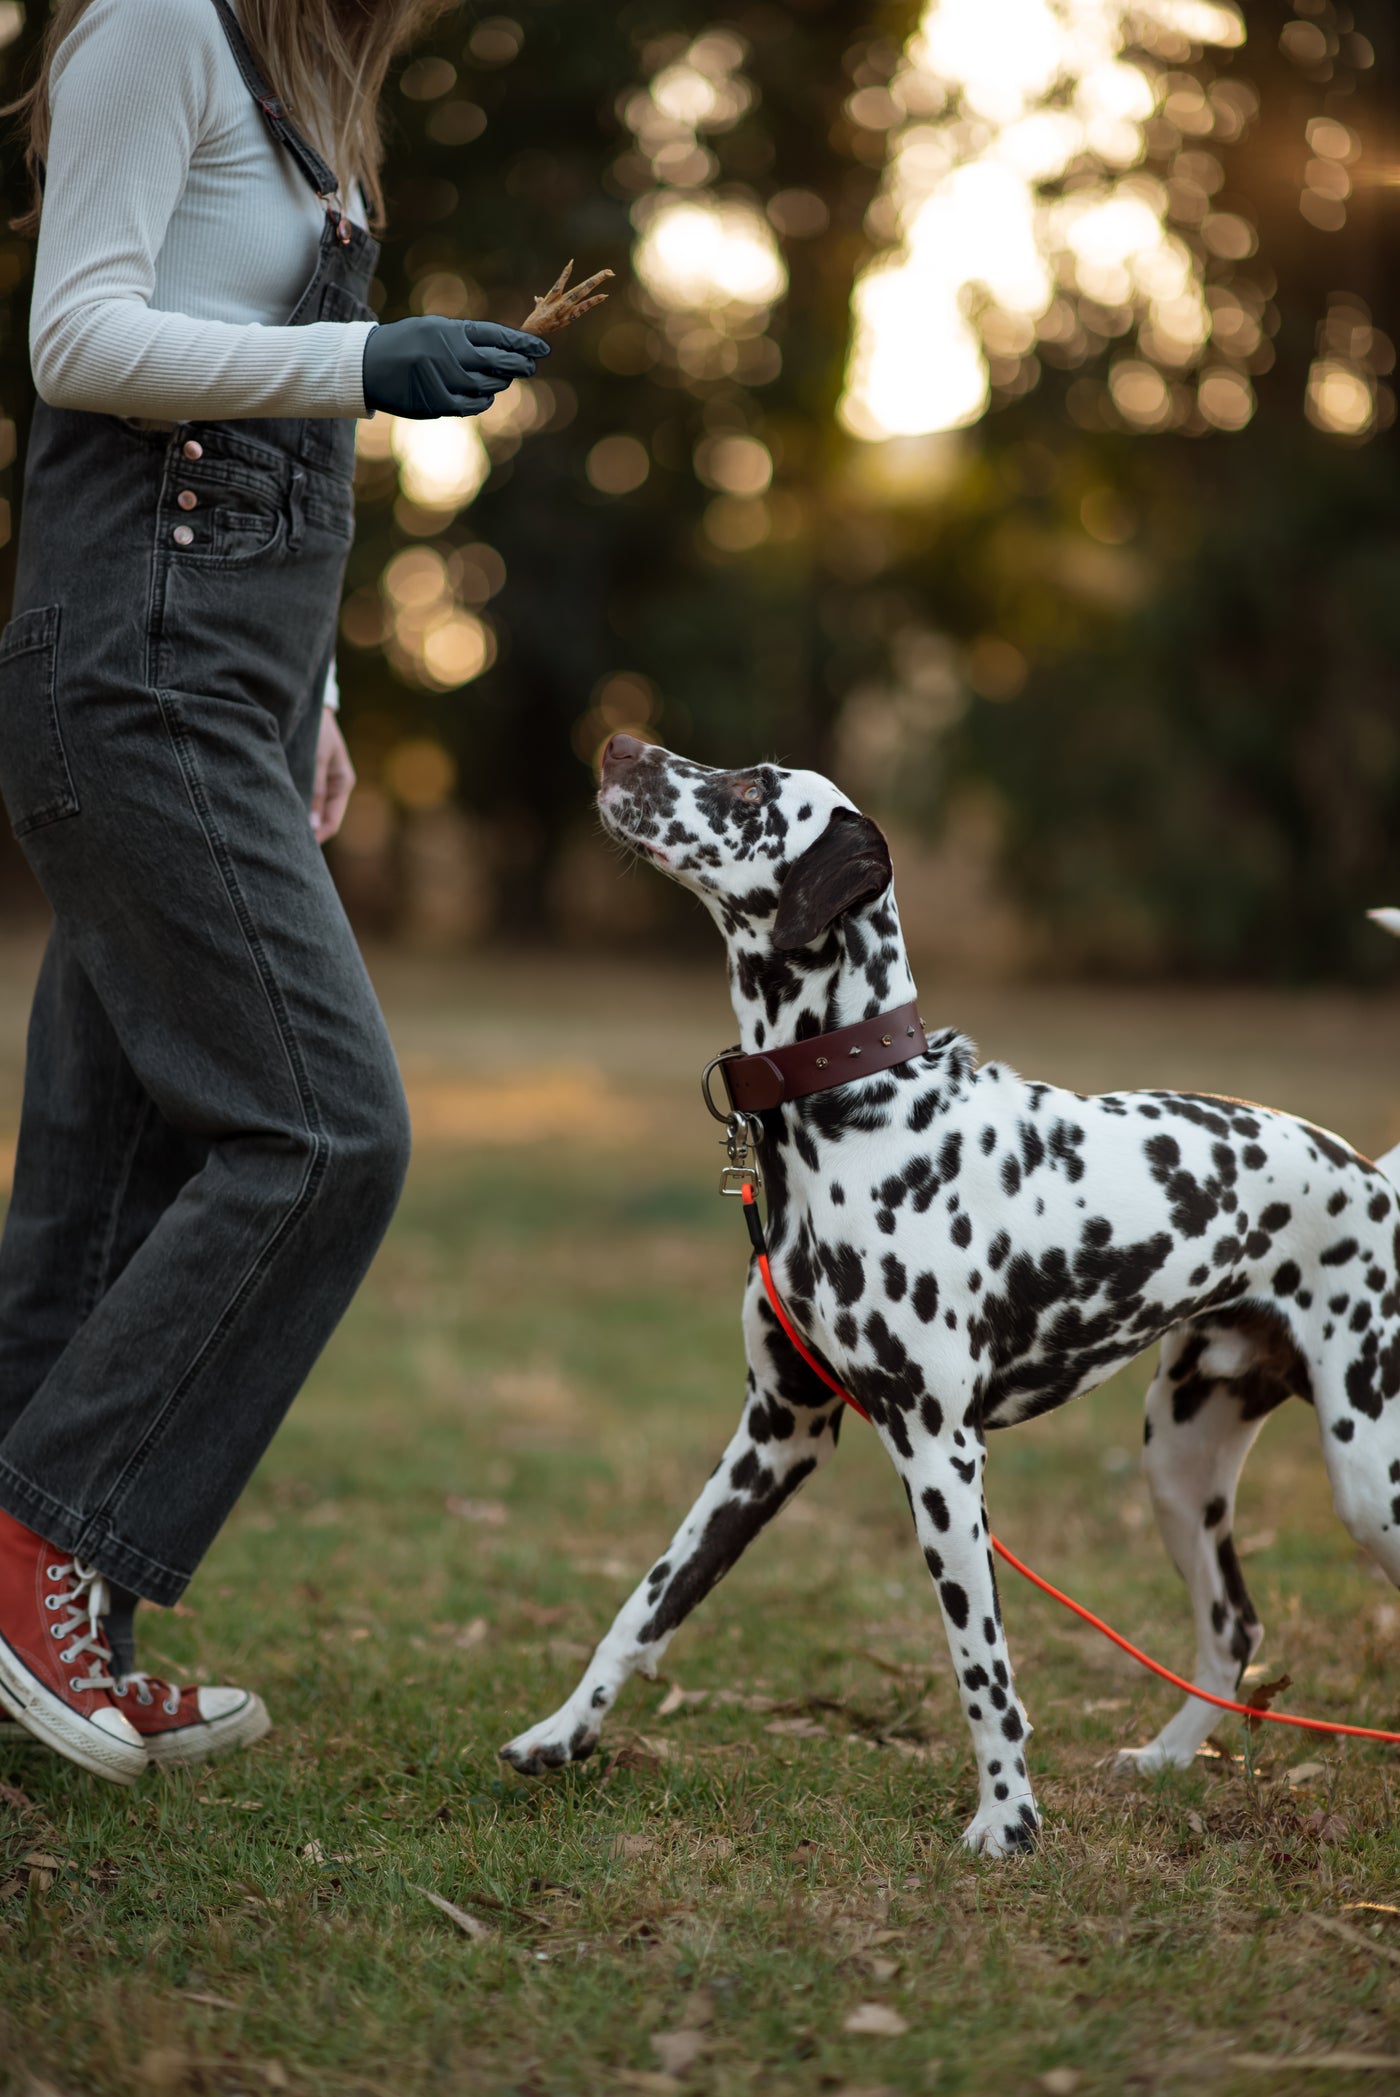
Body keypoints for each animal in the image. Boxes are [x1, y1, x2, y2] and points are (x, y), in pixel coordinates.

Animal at [500, 738, 1399, 1853]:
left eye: (751, 788)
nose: (619, 745)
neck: (859, 1113)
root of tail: (1373, 1176)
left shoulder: (938, 1453)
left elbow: (982, 1669)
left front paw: (1007, 1822)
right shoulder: (773, 1435)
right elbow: (647, 1602)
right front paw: (560, 1732)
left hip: (1366, 1477)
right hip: (1179, 1462)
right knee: (1232, 1626)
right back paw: (1162, 1758)